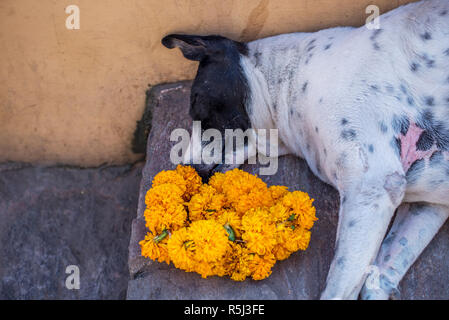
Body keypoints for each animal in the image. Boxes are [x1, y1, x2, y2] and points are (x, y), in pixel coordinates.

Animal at [161, 0, 448, 300]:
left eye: (196, 102)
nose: (186, 169)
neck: (292, 83)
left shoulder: (371, 184)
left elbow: (338, 287)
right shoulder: (425, 205)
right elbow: (380, 273)